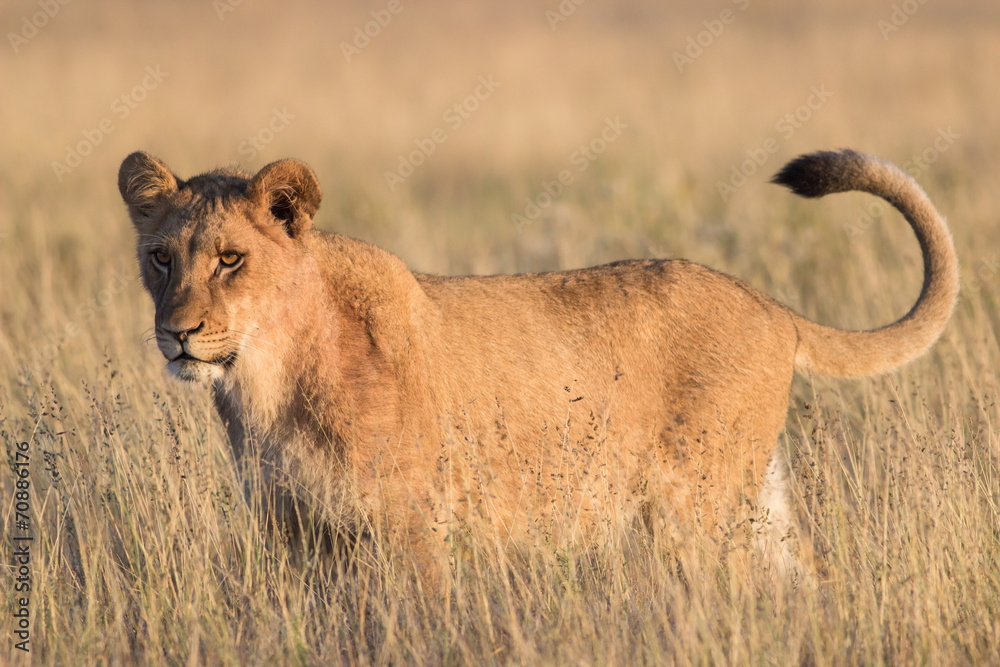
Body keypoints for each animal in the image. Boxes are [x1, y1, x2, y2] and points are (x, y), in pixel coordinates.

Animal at [119, 149, 958, 581]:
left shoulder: (413, 528)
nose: (177, 333)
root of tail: (771, 304)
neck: (268, 379)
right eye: (161, 258)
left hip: (695, 506)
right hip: (752, 502)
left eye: (231, 259)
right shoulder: (299, 535)